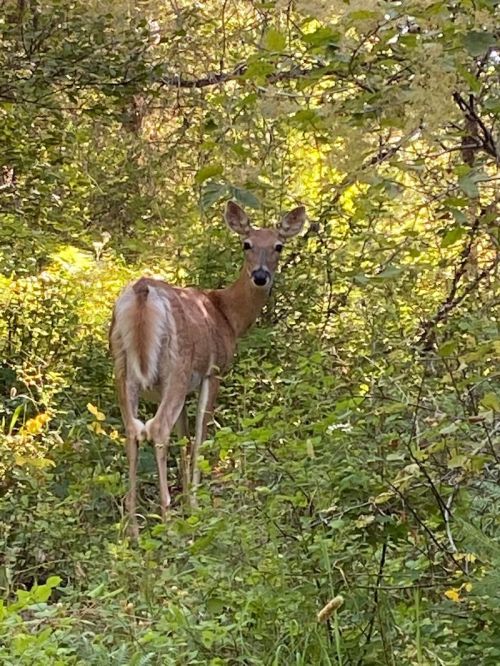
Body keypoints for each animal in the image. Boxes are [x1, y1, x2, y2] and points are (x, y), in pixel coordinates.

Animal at [109, 201, 306, 536]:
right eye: (246, 244)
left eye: (278, 246)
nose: (260, 276)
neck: (226, 314)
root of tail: (142, 292)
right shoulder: (213, 372)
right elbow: (202, 434)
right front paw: (194, 503)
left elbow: (185, 439)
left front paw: (187, 495)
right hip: (177, 363)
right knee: (156, 428)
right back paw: (168, 524)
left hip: (123, 367)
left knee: (133, 431)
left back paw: (133, 531)